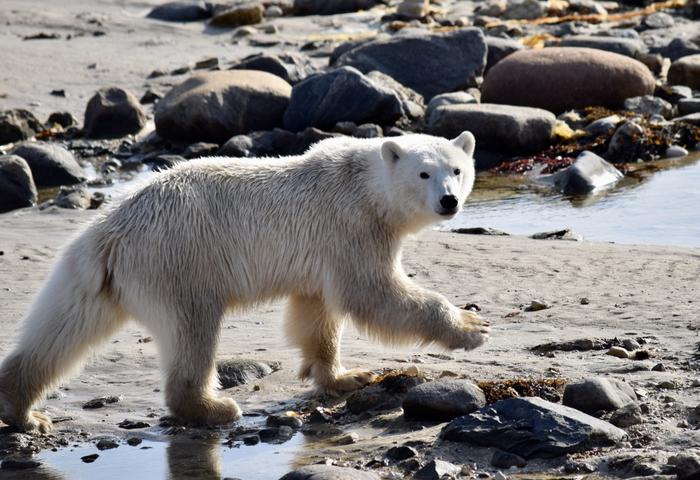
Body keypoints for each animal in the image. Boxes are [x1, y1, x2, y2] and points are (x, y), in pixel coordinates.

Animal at [0, 132, 489, 432]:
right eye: (424, 173)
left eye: (457, 170)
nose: (448, 201)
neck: (365, 186)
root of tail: (111, 230)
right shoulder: (352, 227)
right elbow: (373, 293)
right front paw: (470, 326)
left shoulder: (322, 253)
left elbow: (315, 313)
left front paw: (344, 376)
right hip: (180, 259)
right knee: (193, 329)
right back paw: (212, 407)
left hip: (90, 275)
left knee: (60, 331)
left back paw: (22, 409)